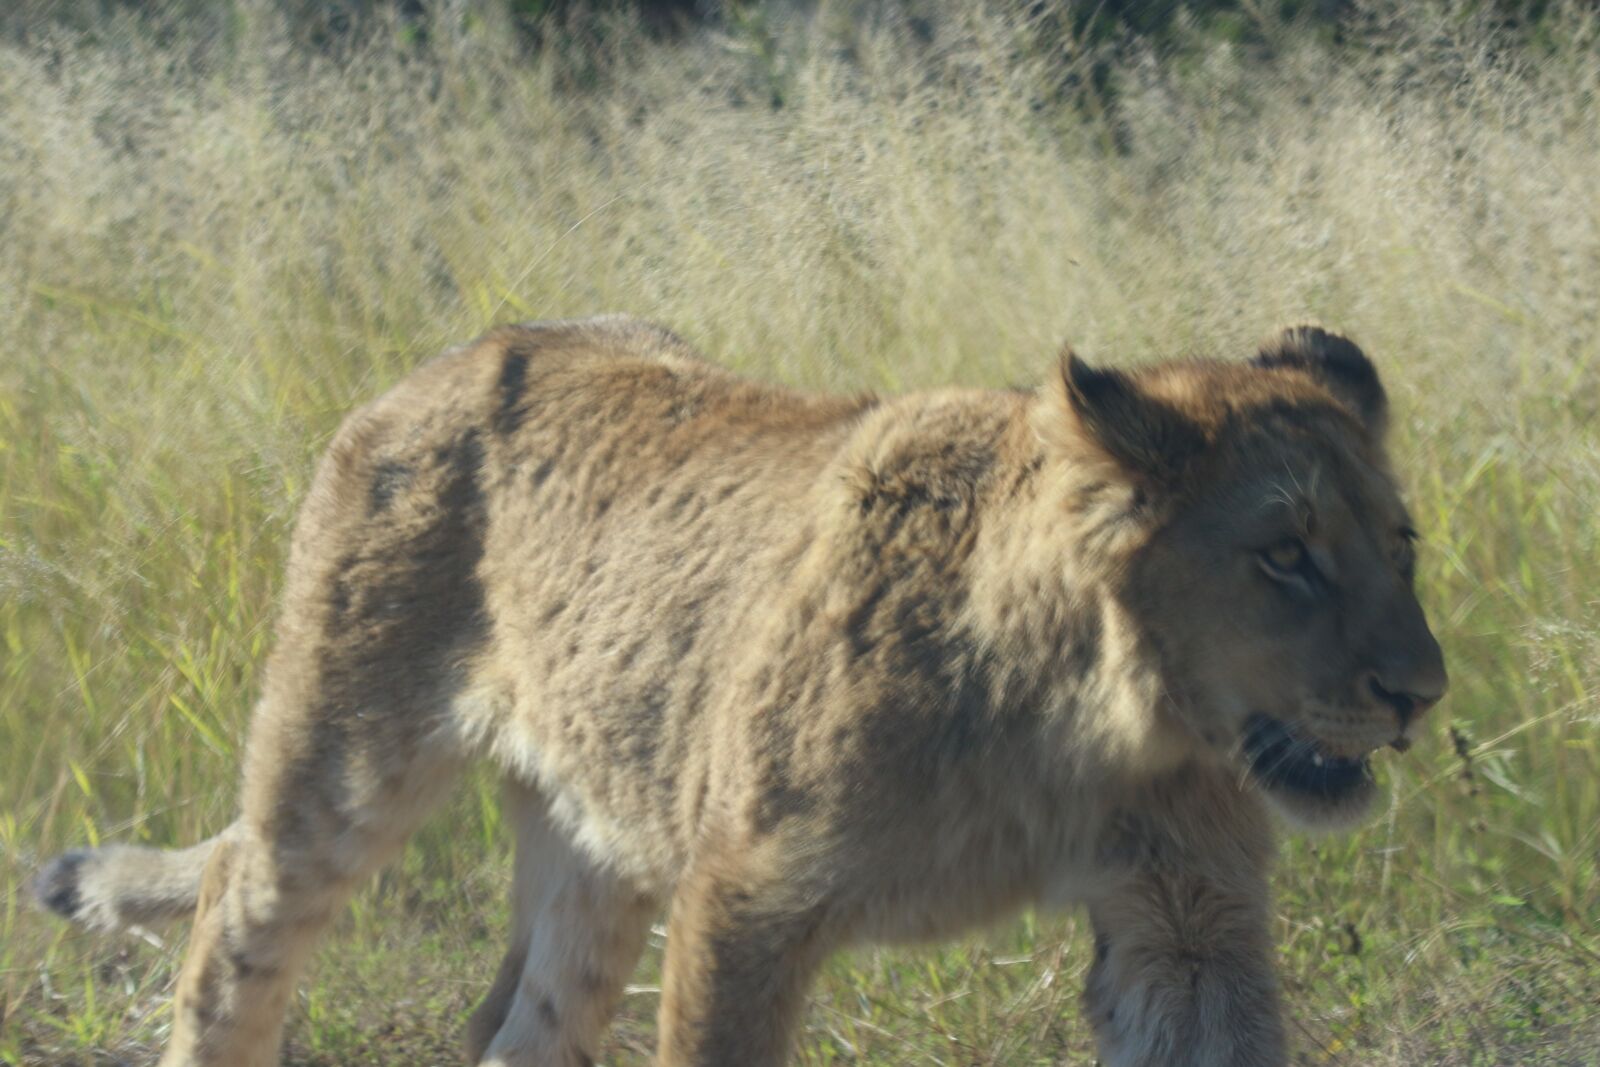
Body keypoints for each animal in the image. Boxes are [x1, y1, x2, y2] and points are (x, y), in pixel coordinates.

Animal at [34, 316, 1446, 1067]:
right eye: (1286, 553)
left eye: (1401, 544)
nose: (1421, 690)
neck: (1102, 735)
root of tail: (454, 352)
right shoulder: (748, 889)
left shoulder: (1189, 914)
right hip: (343, 753)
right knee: (235, 913)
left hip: (599, 841)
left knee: (517, 1027)